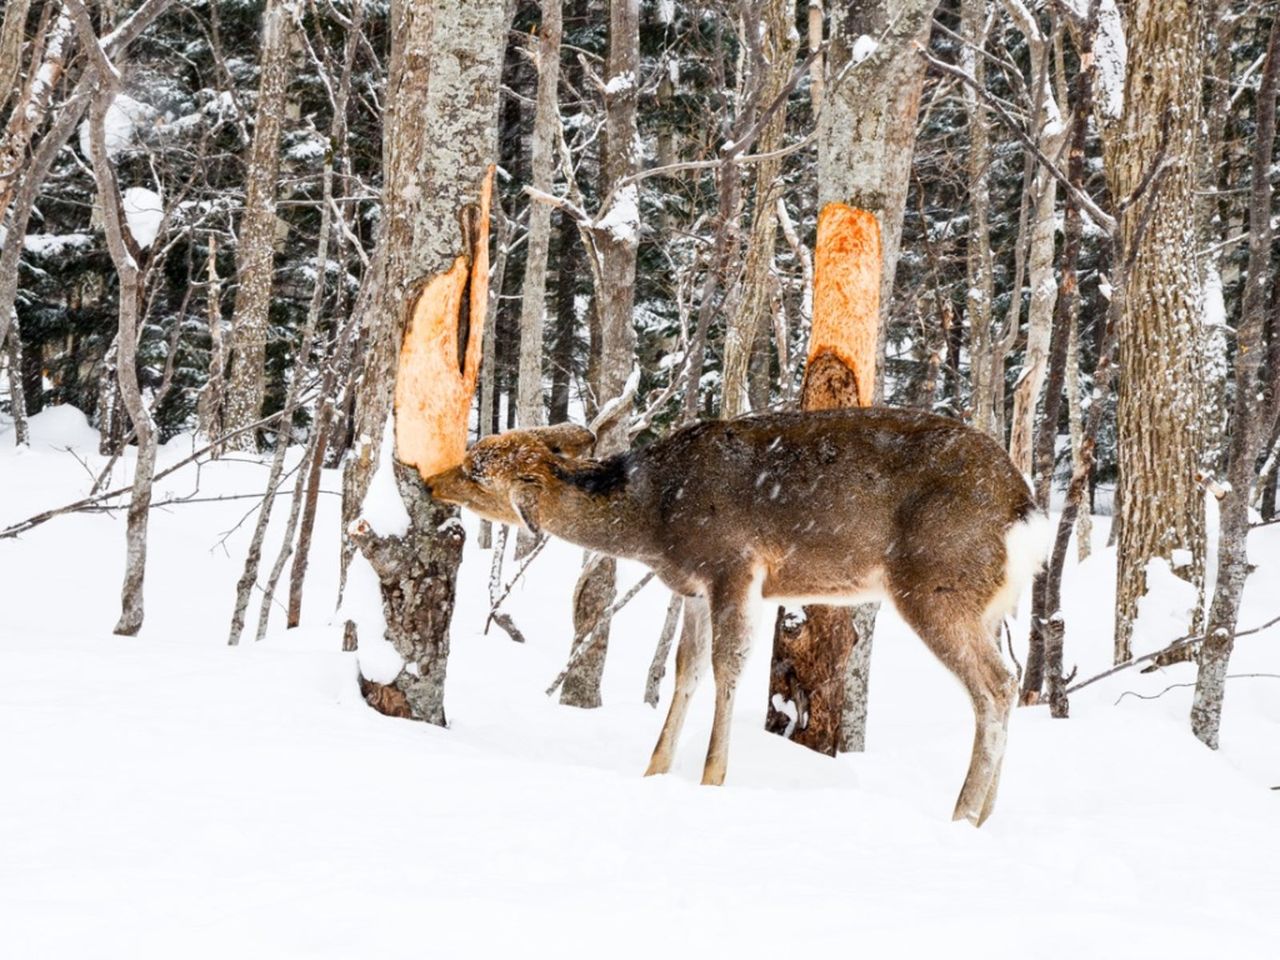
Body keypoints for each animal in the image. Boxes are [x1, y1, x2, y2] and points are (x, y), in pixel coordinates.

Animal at [424, 407, 1044, 829]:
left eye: (477, 470)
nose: (431, 480)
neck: (653, 523)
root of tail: (1027, 513)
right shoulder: (694, 589)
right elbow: (687, 670)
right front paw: (654, 771)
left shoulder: (733, 566)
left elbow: (729, 668)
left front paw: (712, 778)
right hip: (988, 604)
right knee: (1008, 682)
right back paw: (987, 813)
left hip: (937, 585)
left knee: (995, 684)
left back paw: (963, 813)